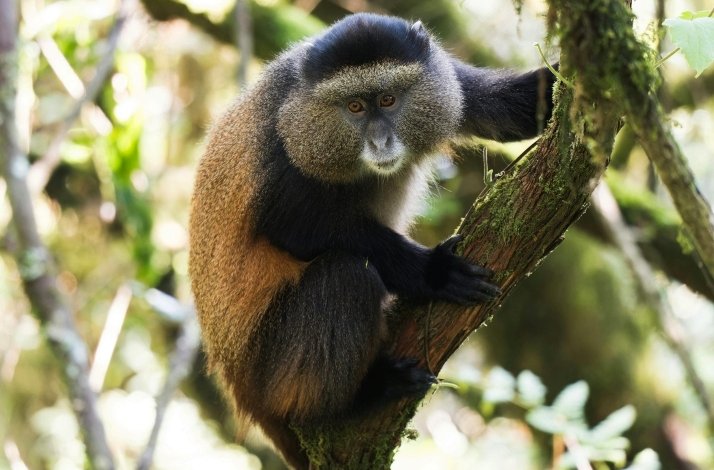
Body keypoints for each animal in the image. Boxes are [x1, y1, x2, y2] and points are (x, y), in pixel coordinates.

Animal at [189, 13, 556, 469]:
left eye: (388, 99)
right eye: (355, 107)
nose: (381, 142)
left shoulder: (440, 79)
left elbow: (509, 107)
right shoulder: (282, 154)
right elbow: (296, 230)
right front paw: (434, 272)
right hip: (269, 370)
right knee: (347, 276)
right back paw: (352, 402)